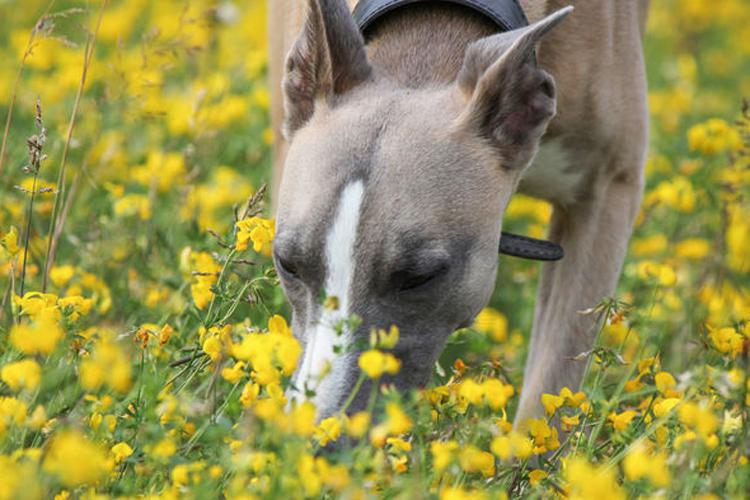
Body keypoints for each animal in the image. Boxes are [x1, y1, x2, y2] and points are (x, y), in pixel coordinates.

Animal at [268, 0, 652, 424]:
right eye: (287, 263)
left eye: (420, 277)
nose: (316, 431)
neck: (430, 28)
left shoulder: (607, 189)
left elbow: (549, 393)